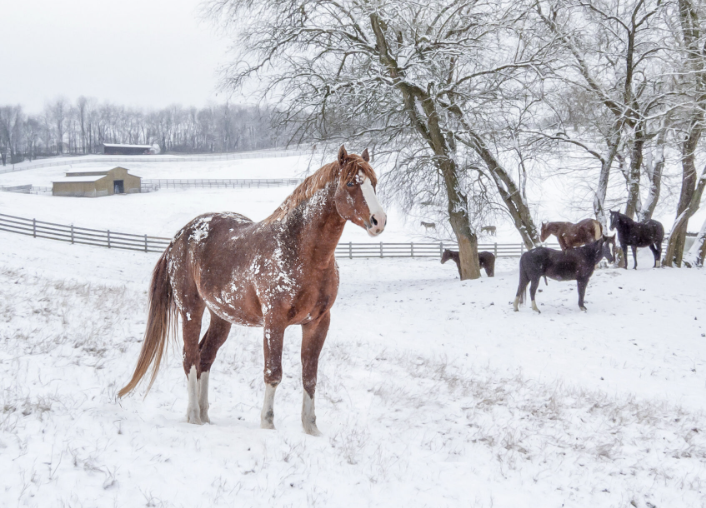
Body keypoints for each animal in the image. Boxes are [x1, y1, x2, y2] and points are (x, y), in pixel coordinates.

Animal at [118, 146, 386, 435]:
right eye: (351, 183)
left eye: (374, 183)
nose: (378, 221)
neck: (300, 250)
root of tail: (178, 237)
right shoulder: (274, 321)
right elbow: (273, 373)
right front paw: (267, 424)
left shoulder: (318, 322)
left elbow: (310, 376)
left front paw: (311, 428)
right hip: (191, 310)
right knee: (190, 357)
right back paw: (193, 417)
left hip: (221, 317)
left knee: (204, 357)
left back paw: (204, 416)